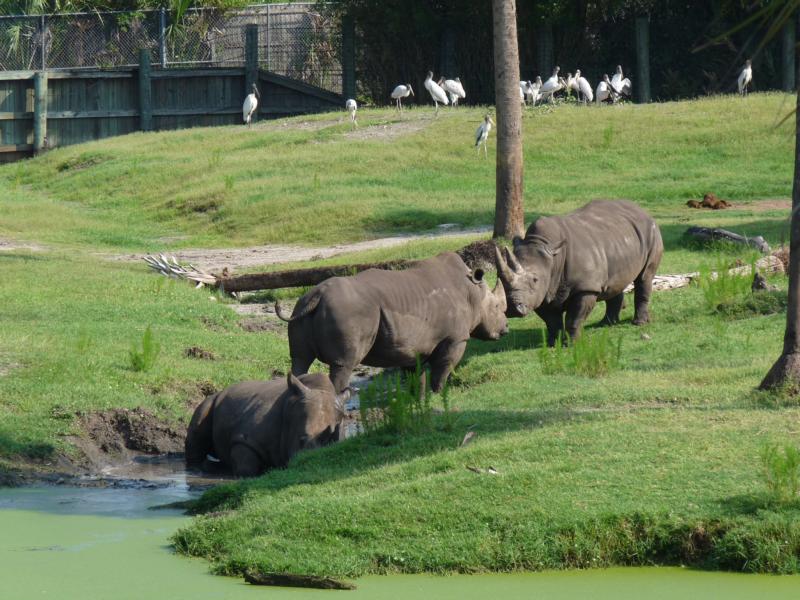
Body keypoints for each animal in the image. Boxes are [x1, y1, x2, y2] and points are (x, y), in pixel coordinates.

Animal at [185, 373, 343, 477]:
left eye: (331, 442)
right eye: (301, 440)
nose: (308, 465)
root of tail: (224, 389)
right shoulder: (246, 438)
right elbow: (246, 467)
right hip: (214, 398)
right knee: (200, 422)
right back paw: (199, 469)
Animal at [276, 252, 508, 394]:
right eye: (497, 307)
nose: (506, 328)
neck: (473, 292)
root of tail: (316, 296)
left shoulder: (413, 346)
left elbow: (417, 375)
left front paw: (419, 401)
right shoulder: (455, 339)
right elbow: (443, 369)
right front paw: (438, 394)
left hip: (301, 307)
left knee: (300, 360)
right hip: (348, 312)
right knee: (343, 365)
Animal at [495, 199, 663, 346]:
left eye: (535, 280)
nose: (511, 308)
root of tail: (642, 210)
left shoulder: (585, 287)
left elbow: (574, 318)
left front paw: (571, 344)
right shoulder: (542, 293)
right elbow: (552, 322)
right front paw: (553, 343)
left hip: (651, 232)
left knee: (644, 278)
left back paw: (638, 323)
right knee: (613, 282)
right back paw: (605, 324)